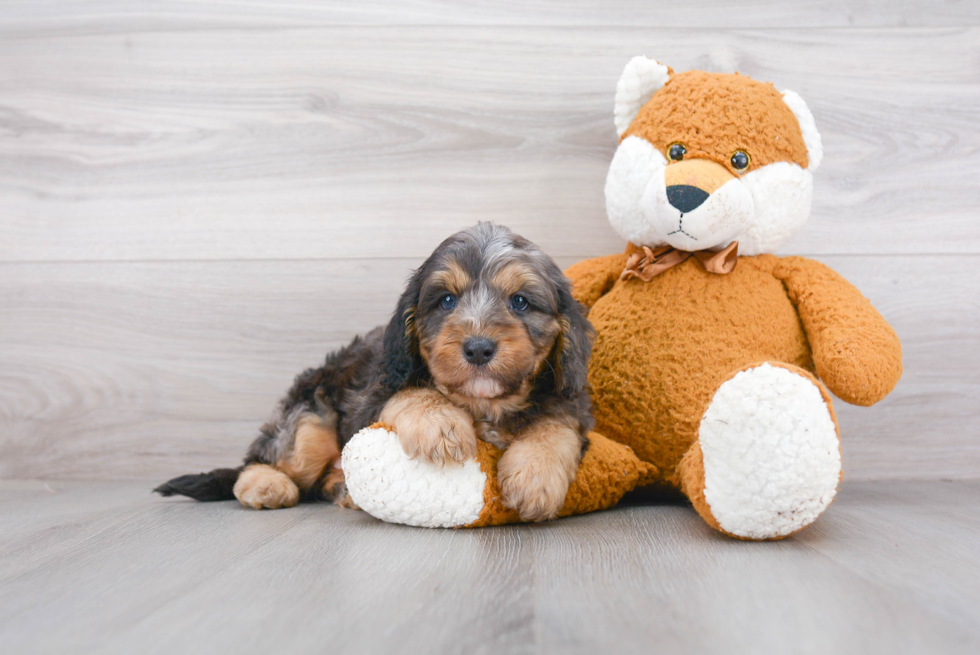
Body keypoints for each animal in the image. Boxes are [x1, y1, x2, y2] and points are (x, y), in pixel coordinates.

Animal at [157, 226, 592, 524]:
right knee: (267, 457)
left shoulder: (570, 398)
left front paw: (535, 476)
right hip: (310, 419)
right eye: (446, 300)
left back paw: (343, 490)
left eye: (520, 302)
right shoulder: (375, 392)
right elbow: (412, 392)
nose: (479, 348)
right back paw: (267, 484)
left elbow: (556, 423)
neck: (483, 404)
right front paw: (441, 425)